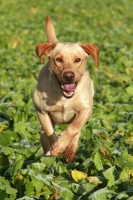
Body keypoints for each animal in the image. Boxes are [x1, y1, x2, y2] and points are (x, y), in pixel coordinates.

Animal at [32, 16, 99, 162]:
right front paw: (56, 148)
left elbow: (74, 128)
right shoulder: (41, 111)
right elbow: (50, 133)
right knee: (44, 136)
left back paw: (70, 153)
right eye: (58, 59)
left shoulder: (86, 109)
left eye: (78, 59)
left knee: (75, 133)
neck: (63, 97)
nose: (69, 76)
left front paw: (62, 146)